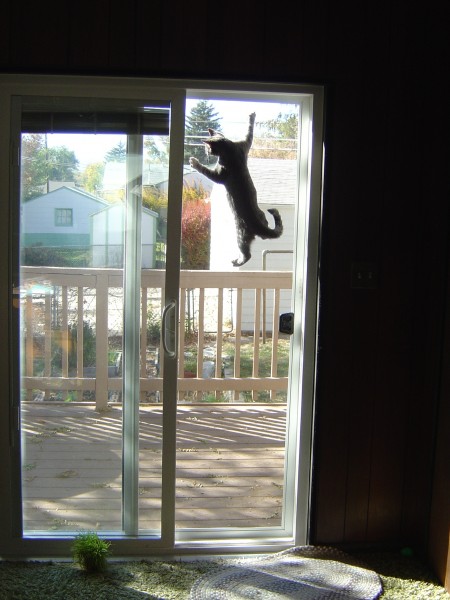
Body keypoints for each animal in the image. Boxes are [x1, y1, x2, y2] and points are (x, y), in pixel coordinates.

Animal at [189, 112, 282, 264]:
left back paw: (237, 261)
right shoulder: (244, 145)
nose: (206, 152)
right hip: (262, 219)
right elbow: (249, 133)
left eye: (207, 148)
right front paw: (251, 116)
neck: (229, 147)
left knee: (247, 254)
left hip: (240, 234)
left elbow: (205, 171)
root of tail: (260, 226)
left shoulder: (219, 175)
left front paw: (194, 162)